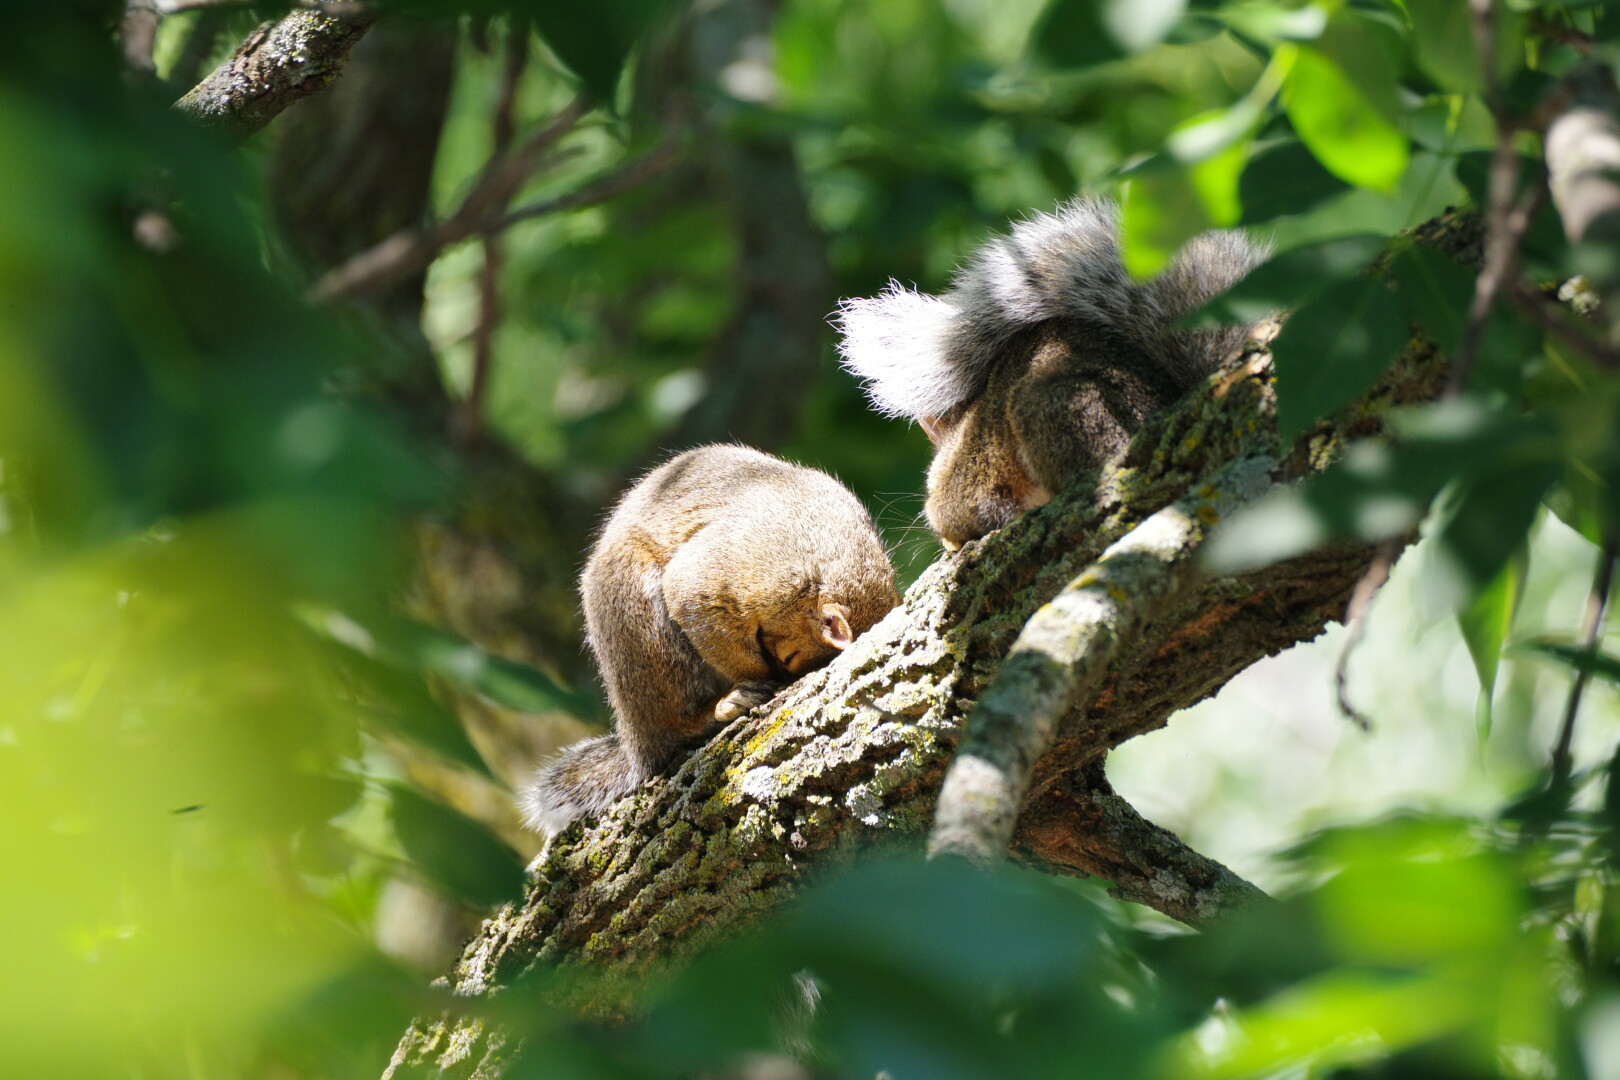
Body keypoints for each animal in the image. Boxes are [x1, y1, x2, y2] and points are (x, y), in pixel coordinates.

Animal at [520, 444, 900, 836]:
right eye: (792, 656)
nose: (781, 670)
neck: (817, 560)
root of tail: (637, 739)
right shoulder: (732, 572)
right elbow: (708, 621)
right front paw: (762, 679)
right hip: (642, 623)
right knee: (677, 727)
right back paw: (720, 706)